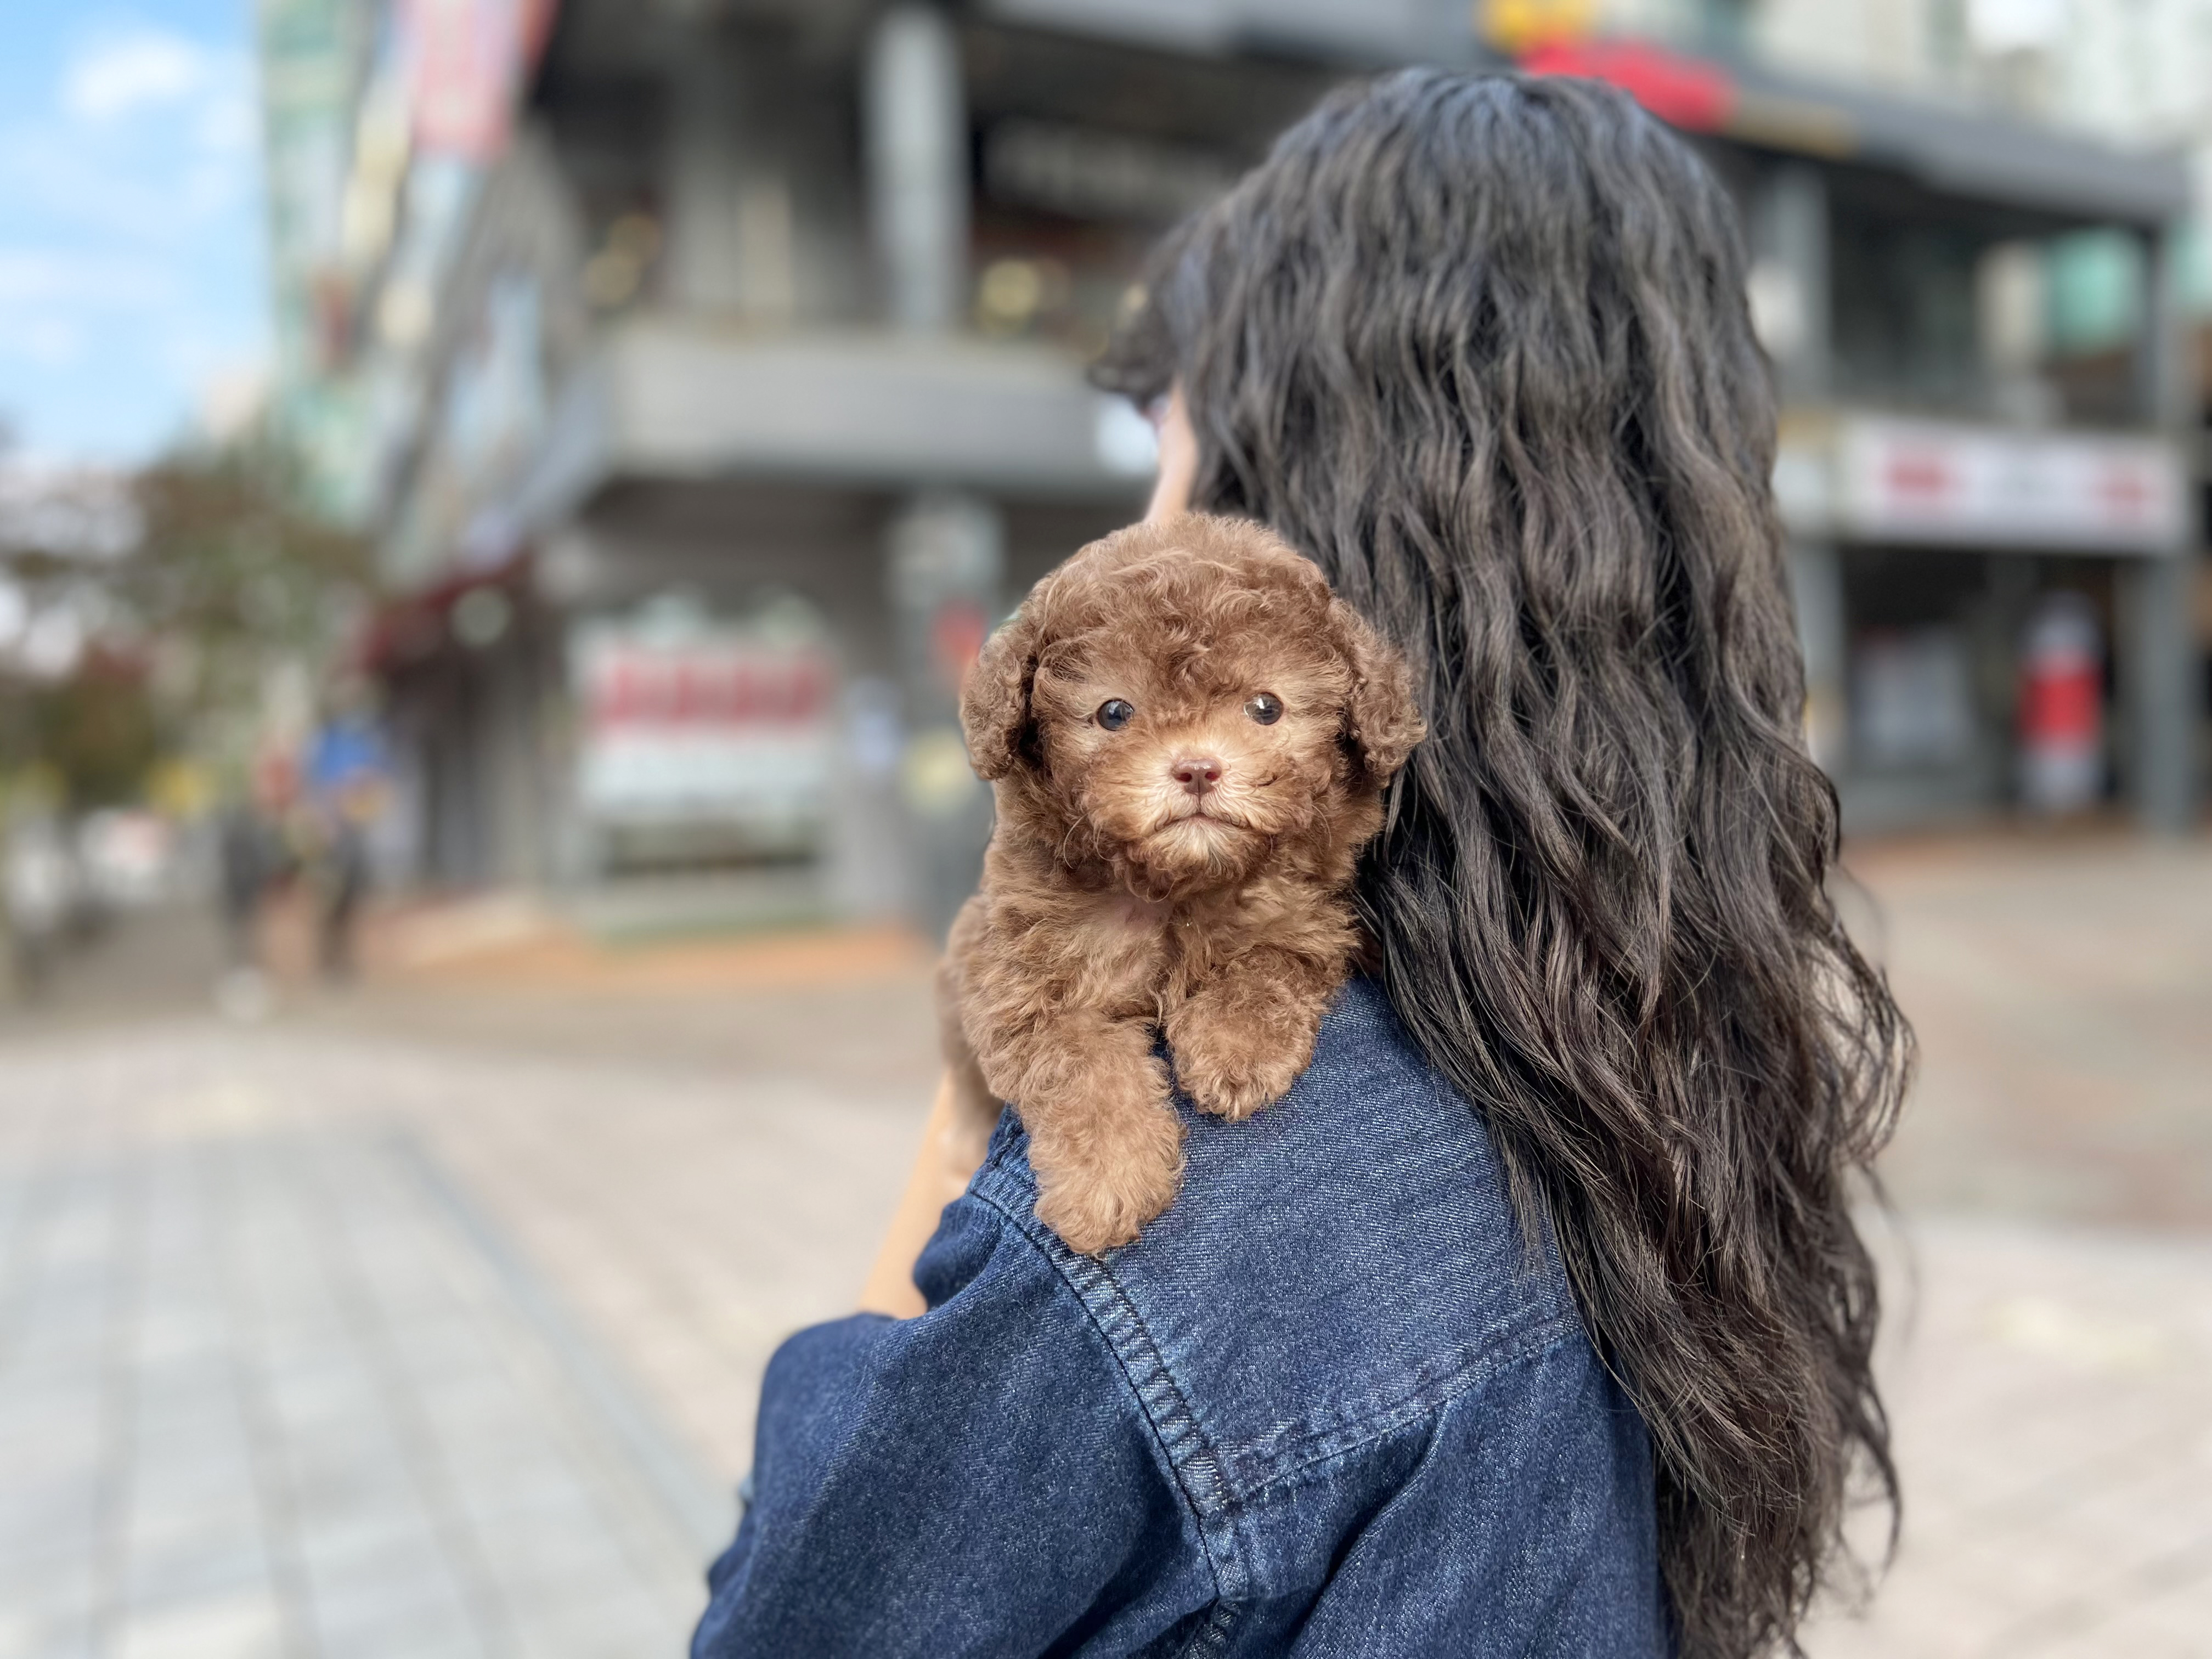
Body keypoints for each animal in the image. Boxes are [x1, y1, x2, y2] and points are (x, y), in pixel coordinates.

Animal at [939, 514, 1425, 1254]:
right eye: (1114, 713)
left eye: (1266, 707)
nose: (1197, 768)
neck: (1177, 885)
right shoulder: (1020, 978)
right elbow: (1081, 1068)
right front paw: (1107, 1183)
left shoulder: (1304, 916)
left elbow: (1266, 963)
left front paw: (1235, 1047)